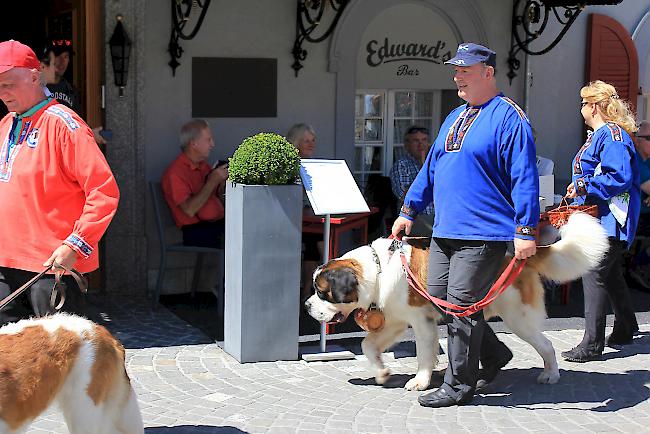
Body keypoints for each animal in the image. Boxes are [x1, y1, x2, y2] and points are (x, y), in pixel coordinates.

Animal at [304, 213, 608, 390]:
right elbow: (369, 345)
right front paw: (381, 372)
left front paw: (421, 380)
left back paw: (550, 375)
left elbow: (424, 352)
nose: (307, 306)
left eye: (322, 292)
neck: (377, 270)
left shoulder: (421, 321)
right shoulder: (394, 320)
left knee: (545, 345)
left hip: (517, 317)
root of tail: (522, 253)